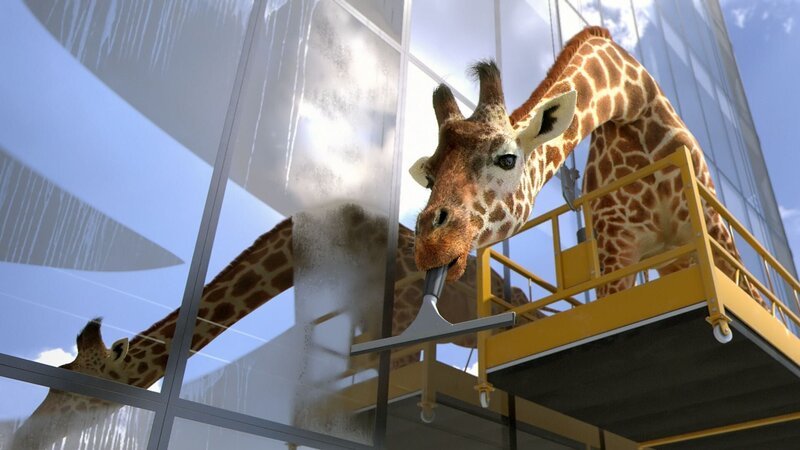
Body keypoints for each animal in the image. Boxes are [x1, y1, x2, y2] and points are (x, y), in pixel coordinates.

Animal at [411, 26, 762, 303]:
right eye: (429, 179)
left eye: (507, 158)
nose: (431, 244)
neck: (633, 105)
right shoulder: (616, 244)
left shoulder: (713, 228)